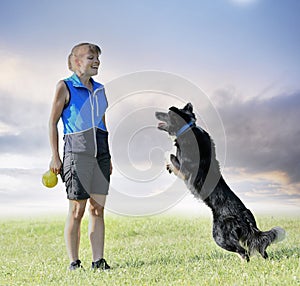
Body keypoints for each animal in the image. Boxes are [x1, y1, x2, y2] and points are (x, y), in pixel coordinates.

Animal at [156, 103, 284, 262]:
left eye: (166, 114)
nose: (155, 113)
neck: (188, 128)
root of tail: (244, 215)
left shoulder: (185, 170)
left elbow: (170, 155)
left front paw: (166, 161)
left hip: (219, 235)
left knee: (243, 252)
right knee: (258, 247)